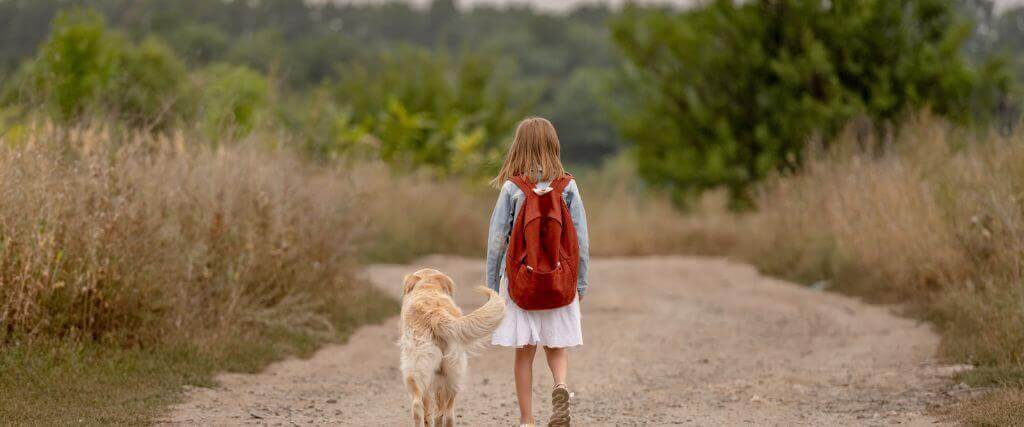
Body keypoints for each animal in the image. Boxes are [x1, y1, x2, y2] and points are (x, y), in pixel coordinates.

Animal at [403, 268, 507, 423]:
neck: (428, 287)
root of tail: (435, 315)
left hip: (418, 373)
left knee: (422, 407)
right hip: (450, 377)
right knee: (445, 412)